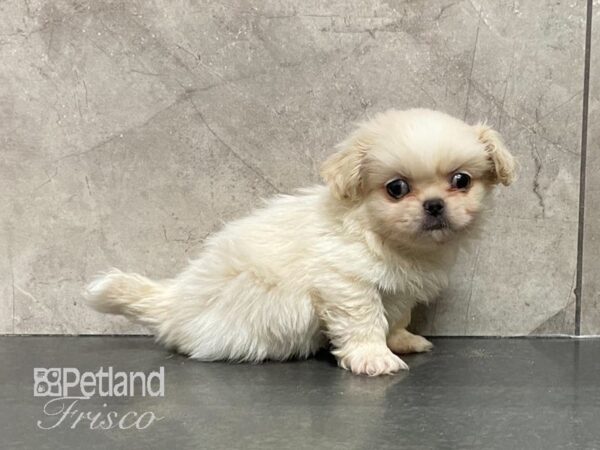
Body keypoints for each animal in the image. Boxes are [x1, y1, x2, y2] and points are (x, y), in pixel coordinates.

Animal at [85, 109, 516, 376]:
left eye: (461, 180)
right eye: (396, 188)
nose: (434, 205)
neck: (382, 235)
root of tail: (173, 303)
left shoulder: (398, 291)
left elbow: (395, 318)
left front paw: (401, 341)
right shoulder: (345, 283)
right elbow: (365, 321)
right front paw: (373, 357)